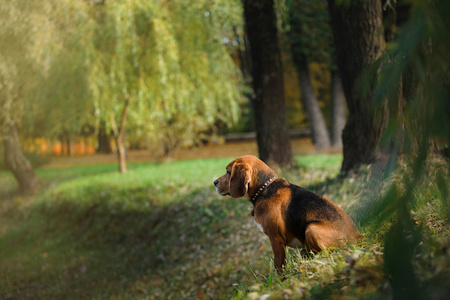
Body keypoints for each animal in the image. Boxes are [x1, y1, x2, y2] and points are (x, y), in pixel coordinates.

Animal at [213, 155, 364, 272]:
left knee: (328, 254)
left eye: (228, 172)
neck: (264, 189)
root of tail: (358, 236)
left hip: (311, 229)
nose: (214, 182)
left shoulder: (275, 239)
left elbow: (278, 264)